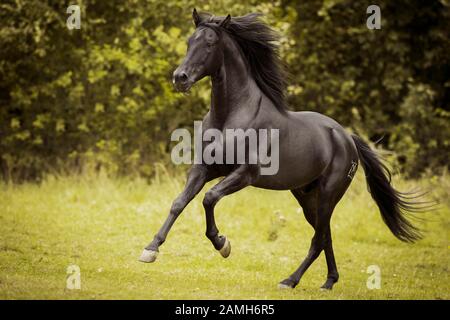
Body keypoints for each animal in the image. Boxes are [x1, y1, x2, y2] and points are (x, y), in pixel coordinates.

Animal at [139, 10, 424, 290]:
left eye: (209, 44)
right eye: (189, 42)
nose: (180, 78)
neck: (229, 118)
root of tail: (347, 138)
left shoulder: (244, 174)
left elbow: (209, 198)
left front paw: (222, 244)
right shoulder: (204, 168)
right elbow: (179, 203)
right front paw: (150, 250)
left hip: (329, 194)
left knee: (318, 238)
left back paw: (290, 280)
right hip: (306, 196)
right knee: (325, 235)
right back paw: (329, 281)